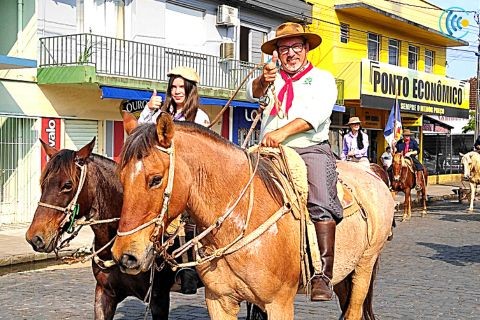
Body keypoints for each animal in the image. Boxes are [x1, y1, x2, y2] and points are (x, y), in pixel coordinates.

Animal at [111, 115, 394, 320]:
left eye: (155, 179)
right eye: (121, 177)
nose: (125, 256)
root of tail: (373, 174)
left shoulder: (279, 304)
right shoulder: (219, 301)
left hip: (364, 267)